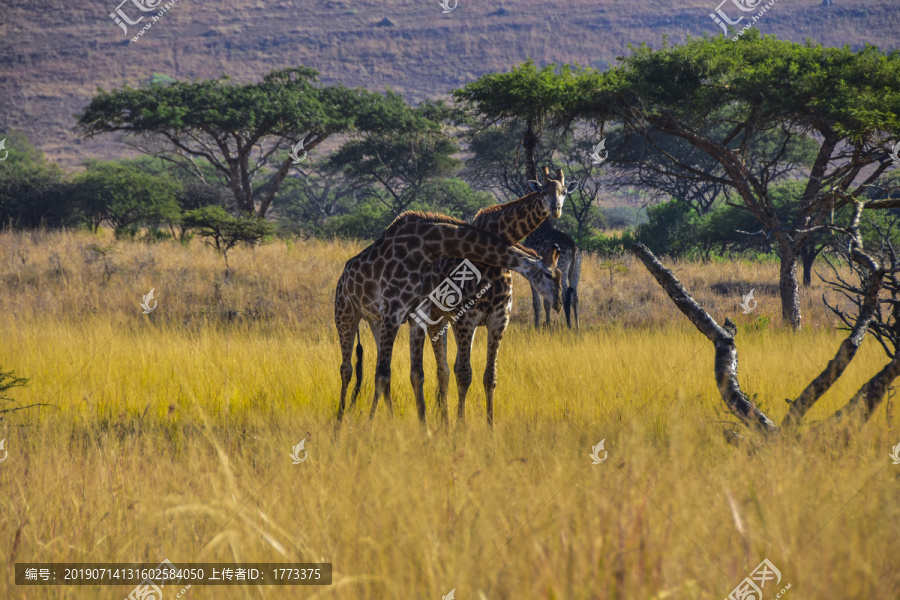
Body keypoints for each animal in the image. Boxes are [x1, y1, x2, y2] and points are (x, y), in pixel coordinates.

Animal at [336, 211, 564, 426]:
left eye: (561, 274)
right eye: (549, 274)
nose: (559, 303)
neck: (426, 248)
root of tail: (343, 276)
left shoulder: (416, 314)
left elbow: (414, 374)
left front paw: (424, 430)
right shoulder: (394, 309)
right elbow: (382, 373)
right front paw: (369, 426)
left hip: (375, 321)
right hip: (346, 314)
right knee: (347, 369)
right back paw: (339, 422)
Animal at [408, 166, 576, 424]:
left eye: (564, 191)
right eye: (544, 190)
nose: (556, 209)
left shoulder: (498, 319)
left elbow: (490, 376)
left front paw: (490, 425)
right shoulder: (466, 320)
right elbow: (464, 374)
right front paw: (460, 425)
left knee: (450, 367)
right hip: (436, 318)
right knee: (443, 369)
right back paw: (445, 421)